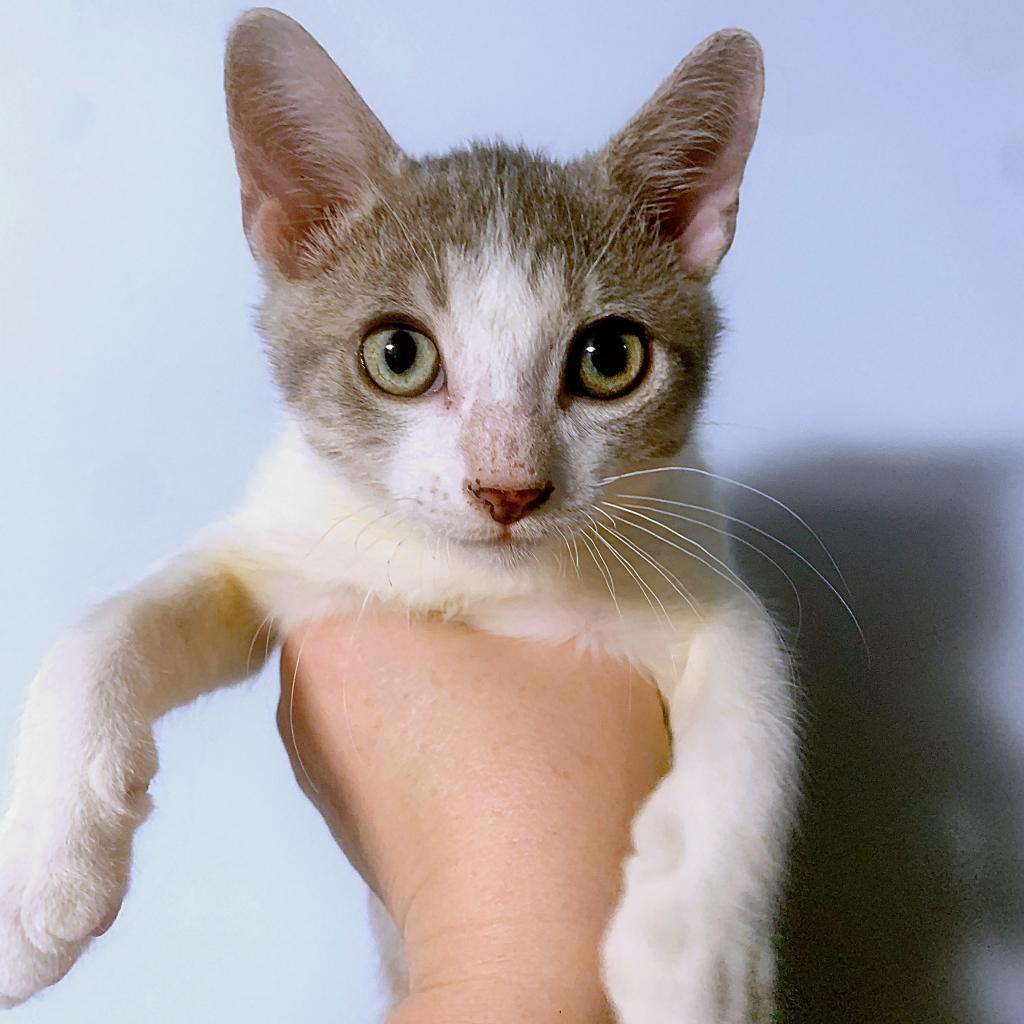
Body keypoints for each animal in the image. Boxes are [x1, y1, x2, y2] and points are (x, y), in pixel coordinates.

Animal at [0, 9, 798, 1024]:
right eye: (398, 354)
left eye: (611, 357)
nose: (509, 488)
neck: (475, 582)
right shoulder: (279, 552)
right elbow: (104, 630)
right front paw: (43, 872)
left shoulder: (698, 570)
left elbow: (756, 718)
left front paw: (698, 960)